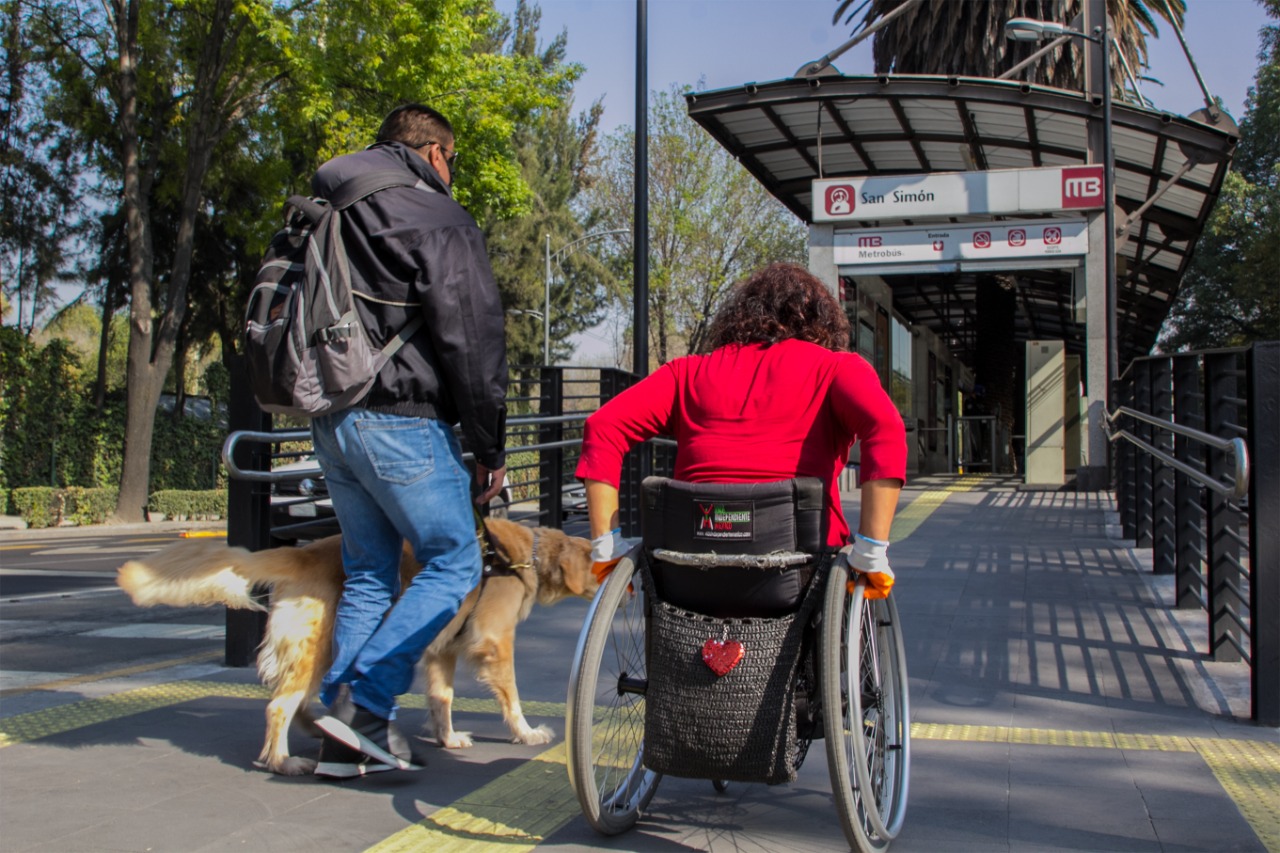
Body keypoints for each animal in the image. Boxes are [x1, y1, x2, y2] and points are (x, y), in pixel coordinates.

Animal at [117, 514, 596, 773]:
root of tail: (303, 551)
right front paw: (526, 732)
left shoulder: (442, 651)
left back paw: (331, 731)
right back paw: (284, 761)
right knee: (279, 708)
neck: (523, 556)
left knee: (303, 704)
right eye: (598, 563)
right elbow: (511, 695)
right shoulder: (495, 641)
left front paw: (447, 737)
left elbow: (441, 698)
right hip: (317, 648)